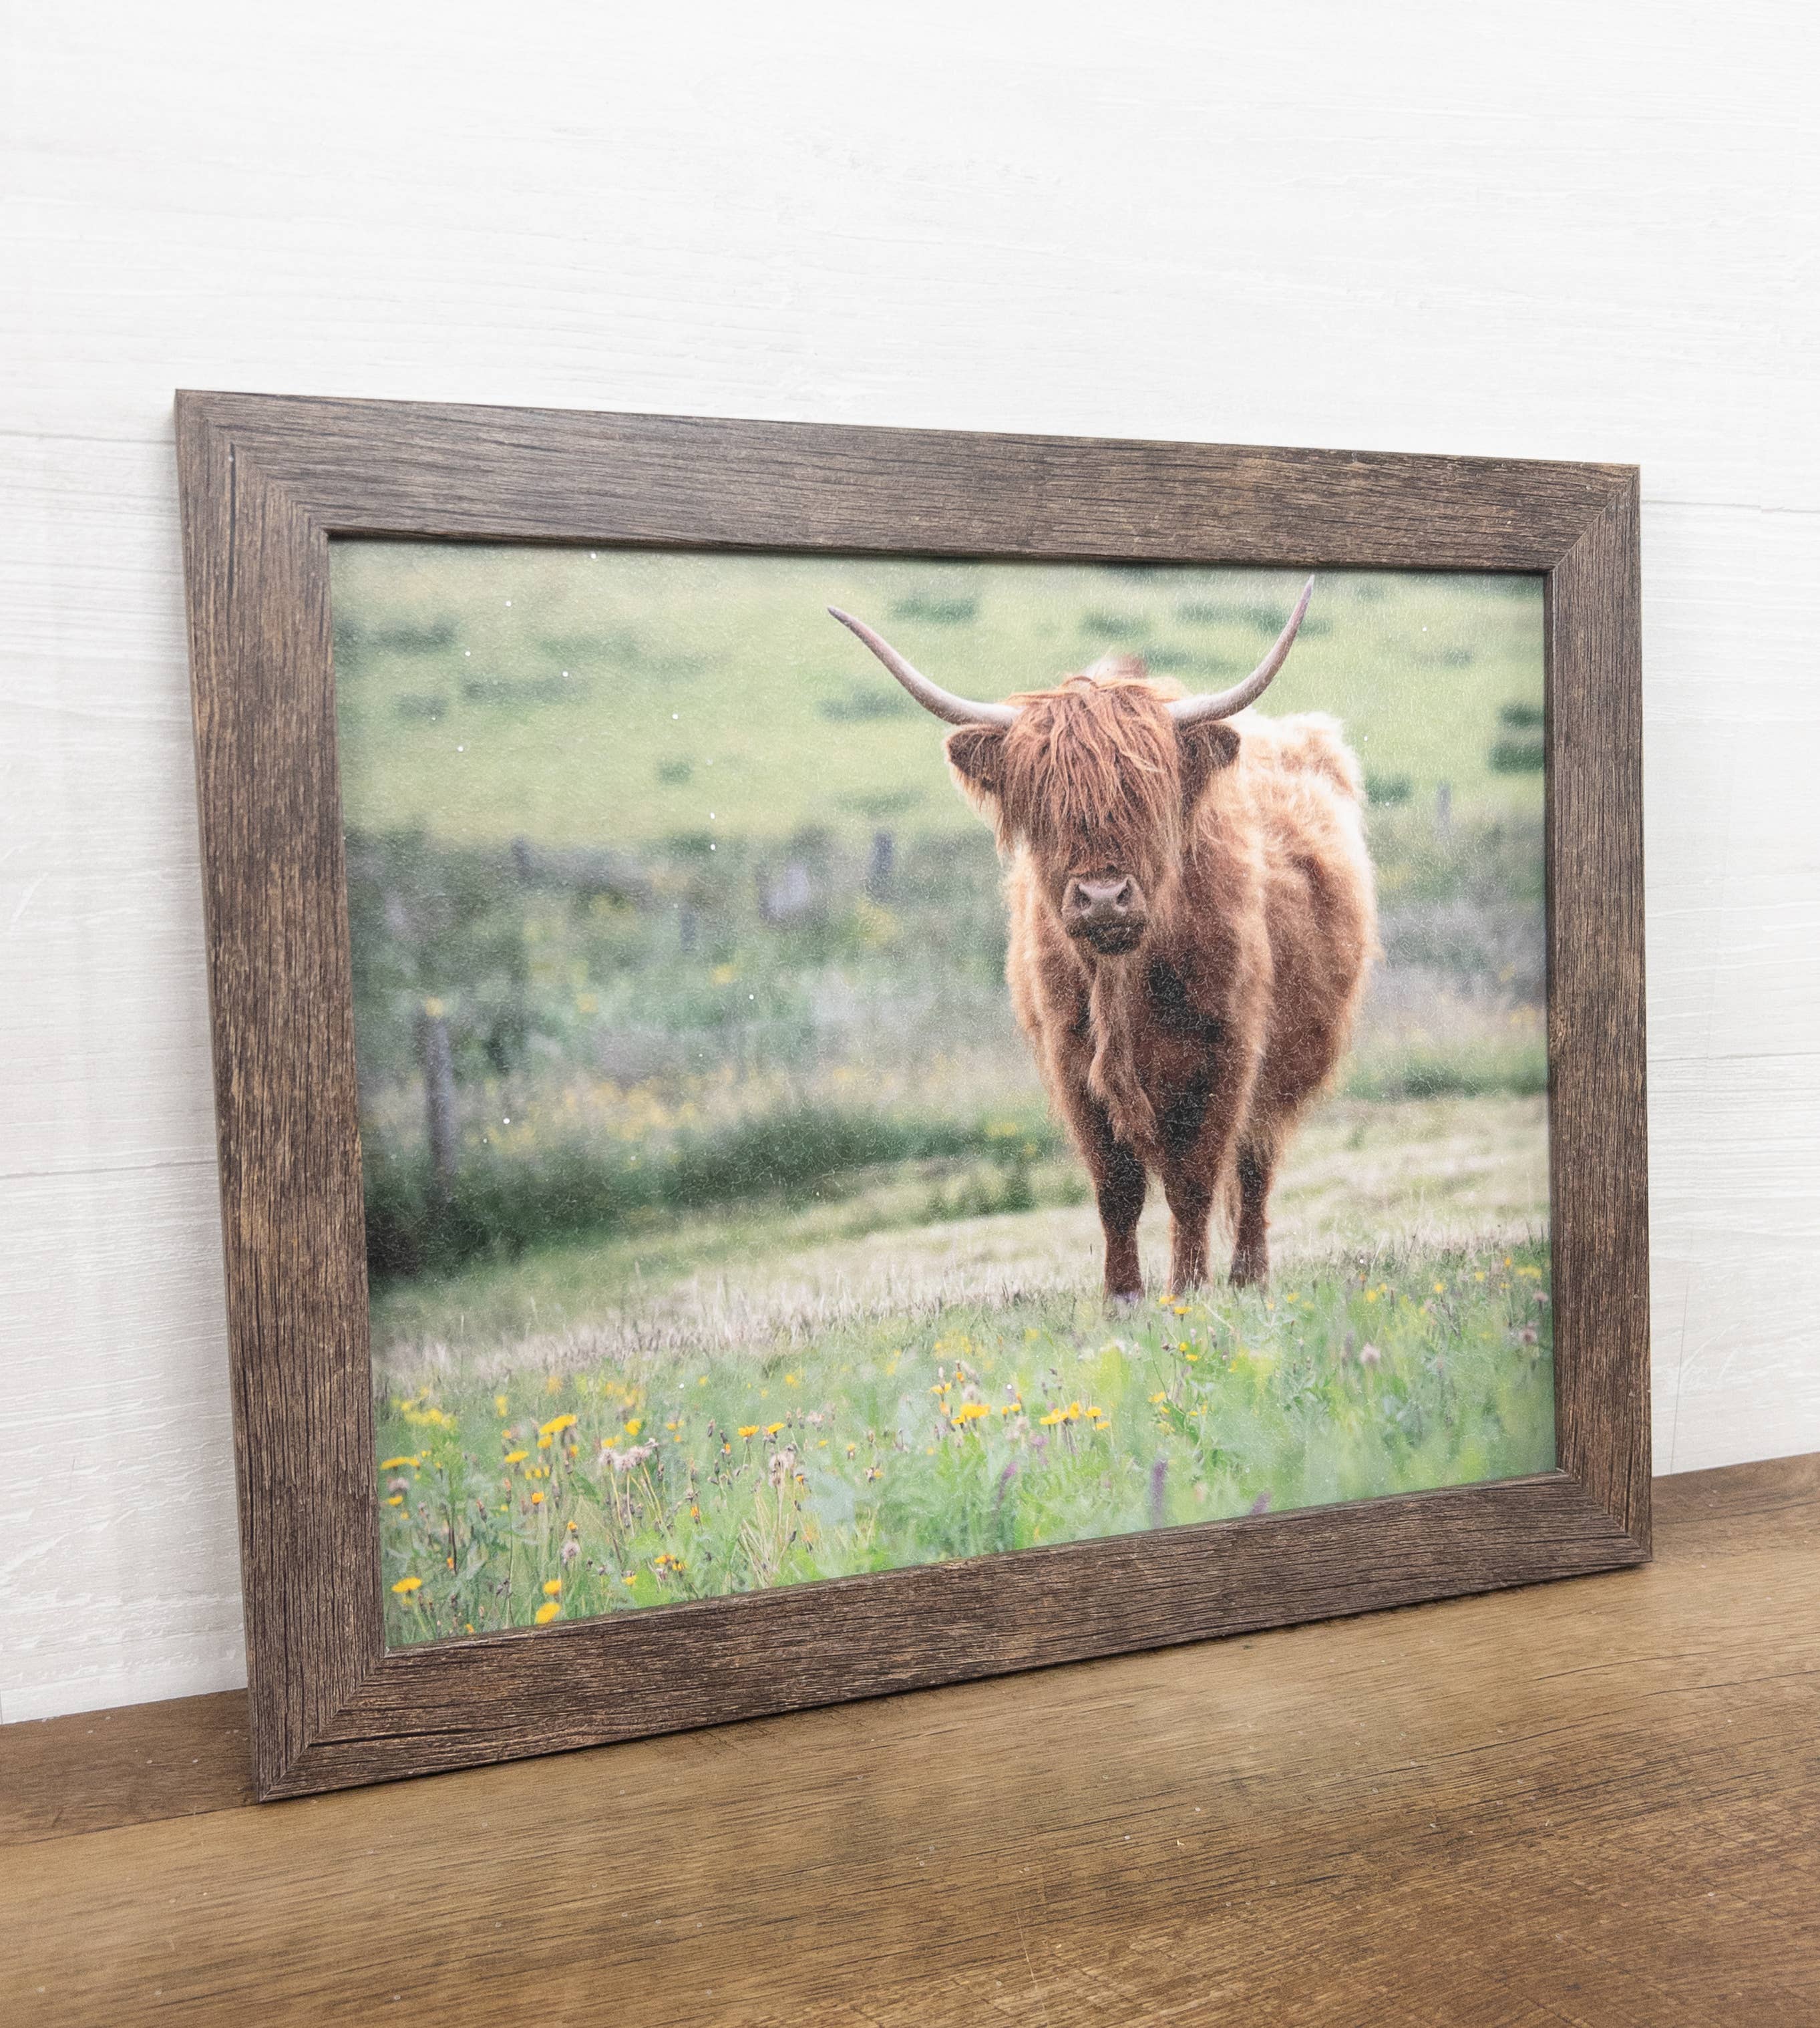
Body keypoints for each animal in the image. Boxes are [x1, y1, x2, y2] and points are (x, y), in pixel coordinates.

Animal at [828, 583, 1375, 1299]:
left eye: (1145, 793)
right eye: (1044, 802)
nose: (1102, 898)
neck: (1125, 981)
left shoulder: (1227, 1052)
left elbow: (1194, 1181)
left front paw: (1187, 1289)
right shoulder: (1072, 1063)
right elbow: (1116, 1190)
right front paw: (1123, 1296)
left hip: (1284, 1061)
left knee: (1256, 1160)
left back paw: (1247, 1275)